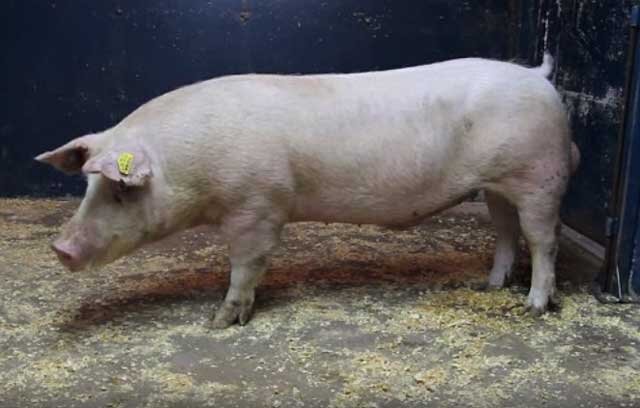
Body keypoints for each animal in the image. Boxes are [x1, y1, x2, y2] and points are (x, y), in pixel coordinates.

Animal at [36, 53, 579, 328]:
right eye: (88, 185)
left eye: (120, 191)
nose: (59, 248)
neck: (192, 168)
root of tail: (538, 76)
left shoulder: (258, 206)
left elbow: (247, 264)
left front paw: (220, 320)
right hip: (499, 187)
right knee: (507, 233)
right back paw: (491, 286)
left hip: (540, 177)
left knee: (544, 241)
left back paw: (534, 306)